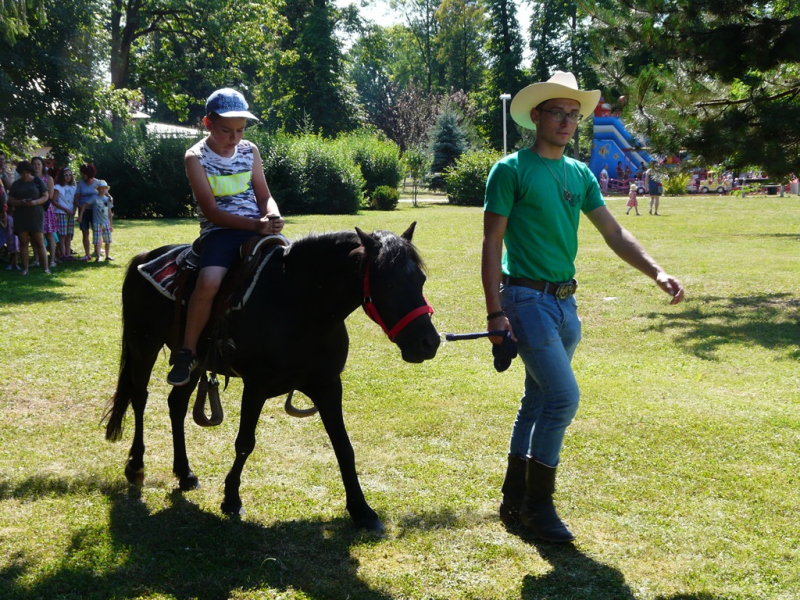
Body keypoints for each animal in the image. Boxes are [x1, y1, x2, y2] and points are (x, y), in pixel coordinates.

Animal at [104, 224, 440, 528]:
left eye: (421, 279)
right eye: (389, 285)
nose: (429, 342)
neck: (300, 304)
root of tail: (145, 258)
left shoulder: (328, 386)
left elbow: (344, 446)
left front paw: (361, 509)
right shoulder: (256, 386)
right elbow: (245, 442)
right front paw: (231, 498)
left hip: (193, 361)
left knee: (176, 404)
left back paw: (185, 474)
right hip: (144, 346)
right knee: (139, 398)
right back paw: (136, 466)